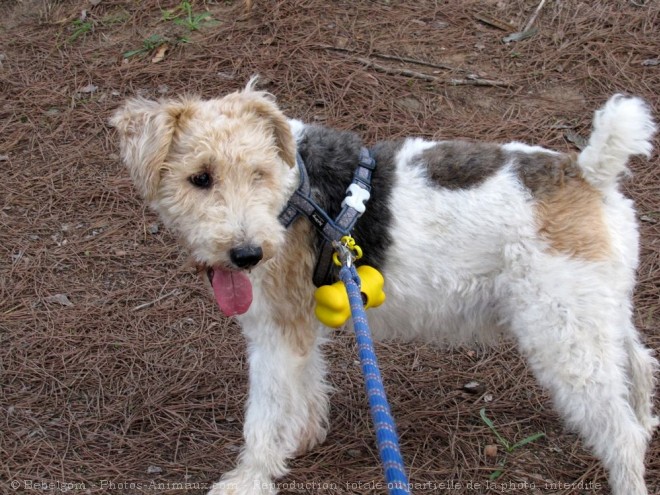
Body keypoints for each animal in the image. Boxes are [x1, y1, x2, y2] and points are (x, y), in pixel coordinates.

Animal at [111, 81, 656, 495]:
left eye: (257, 173)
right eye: (199, 178)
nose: (247, 254)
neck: (293, 194)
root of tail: (587, 172)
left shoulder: (276, 330)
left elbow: (264, 413)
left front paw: (248, 479)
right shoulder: (297, 325)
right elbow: (305, 386)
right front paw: (303, 437)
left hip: (564, 334)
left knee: (622, 435)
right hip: (598, 313)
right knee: (640, 367)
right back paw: (649, 418)